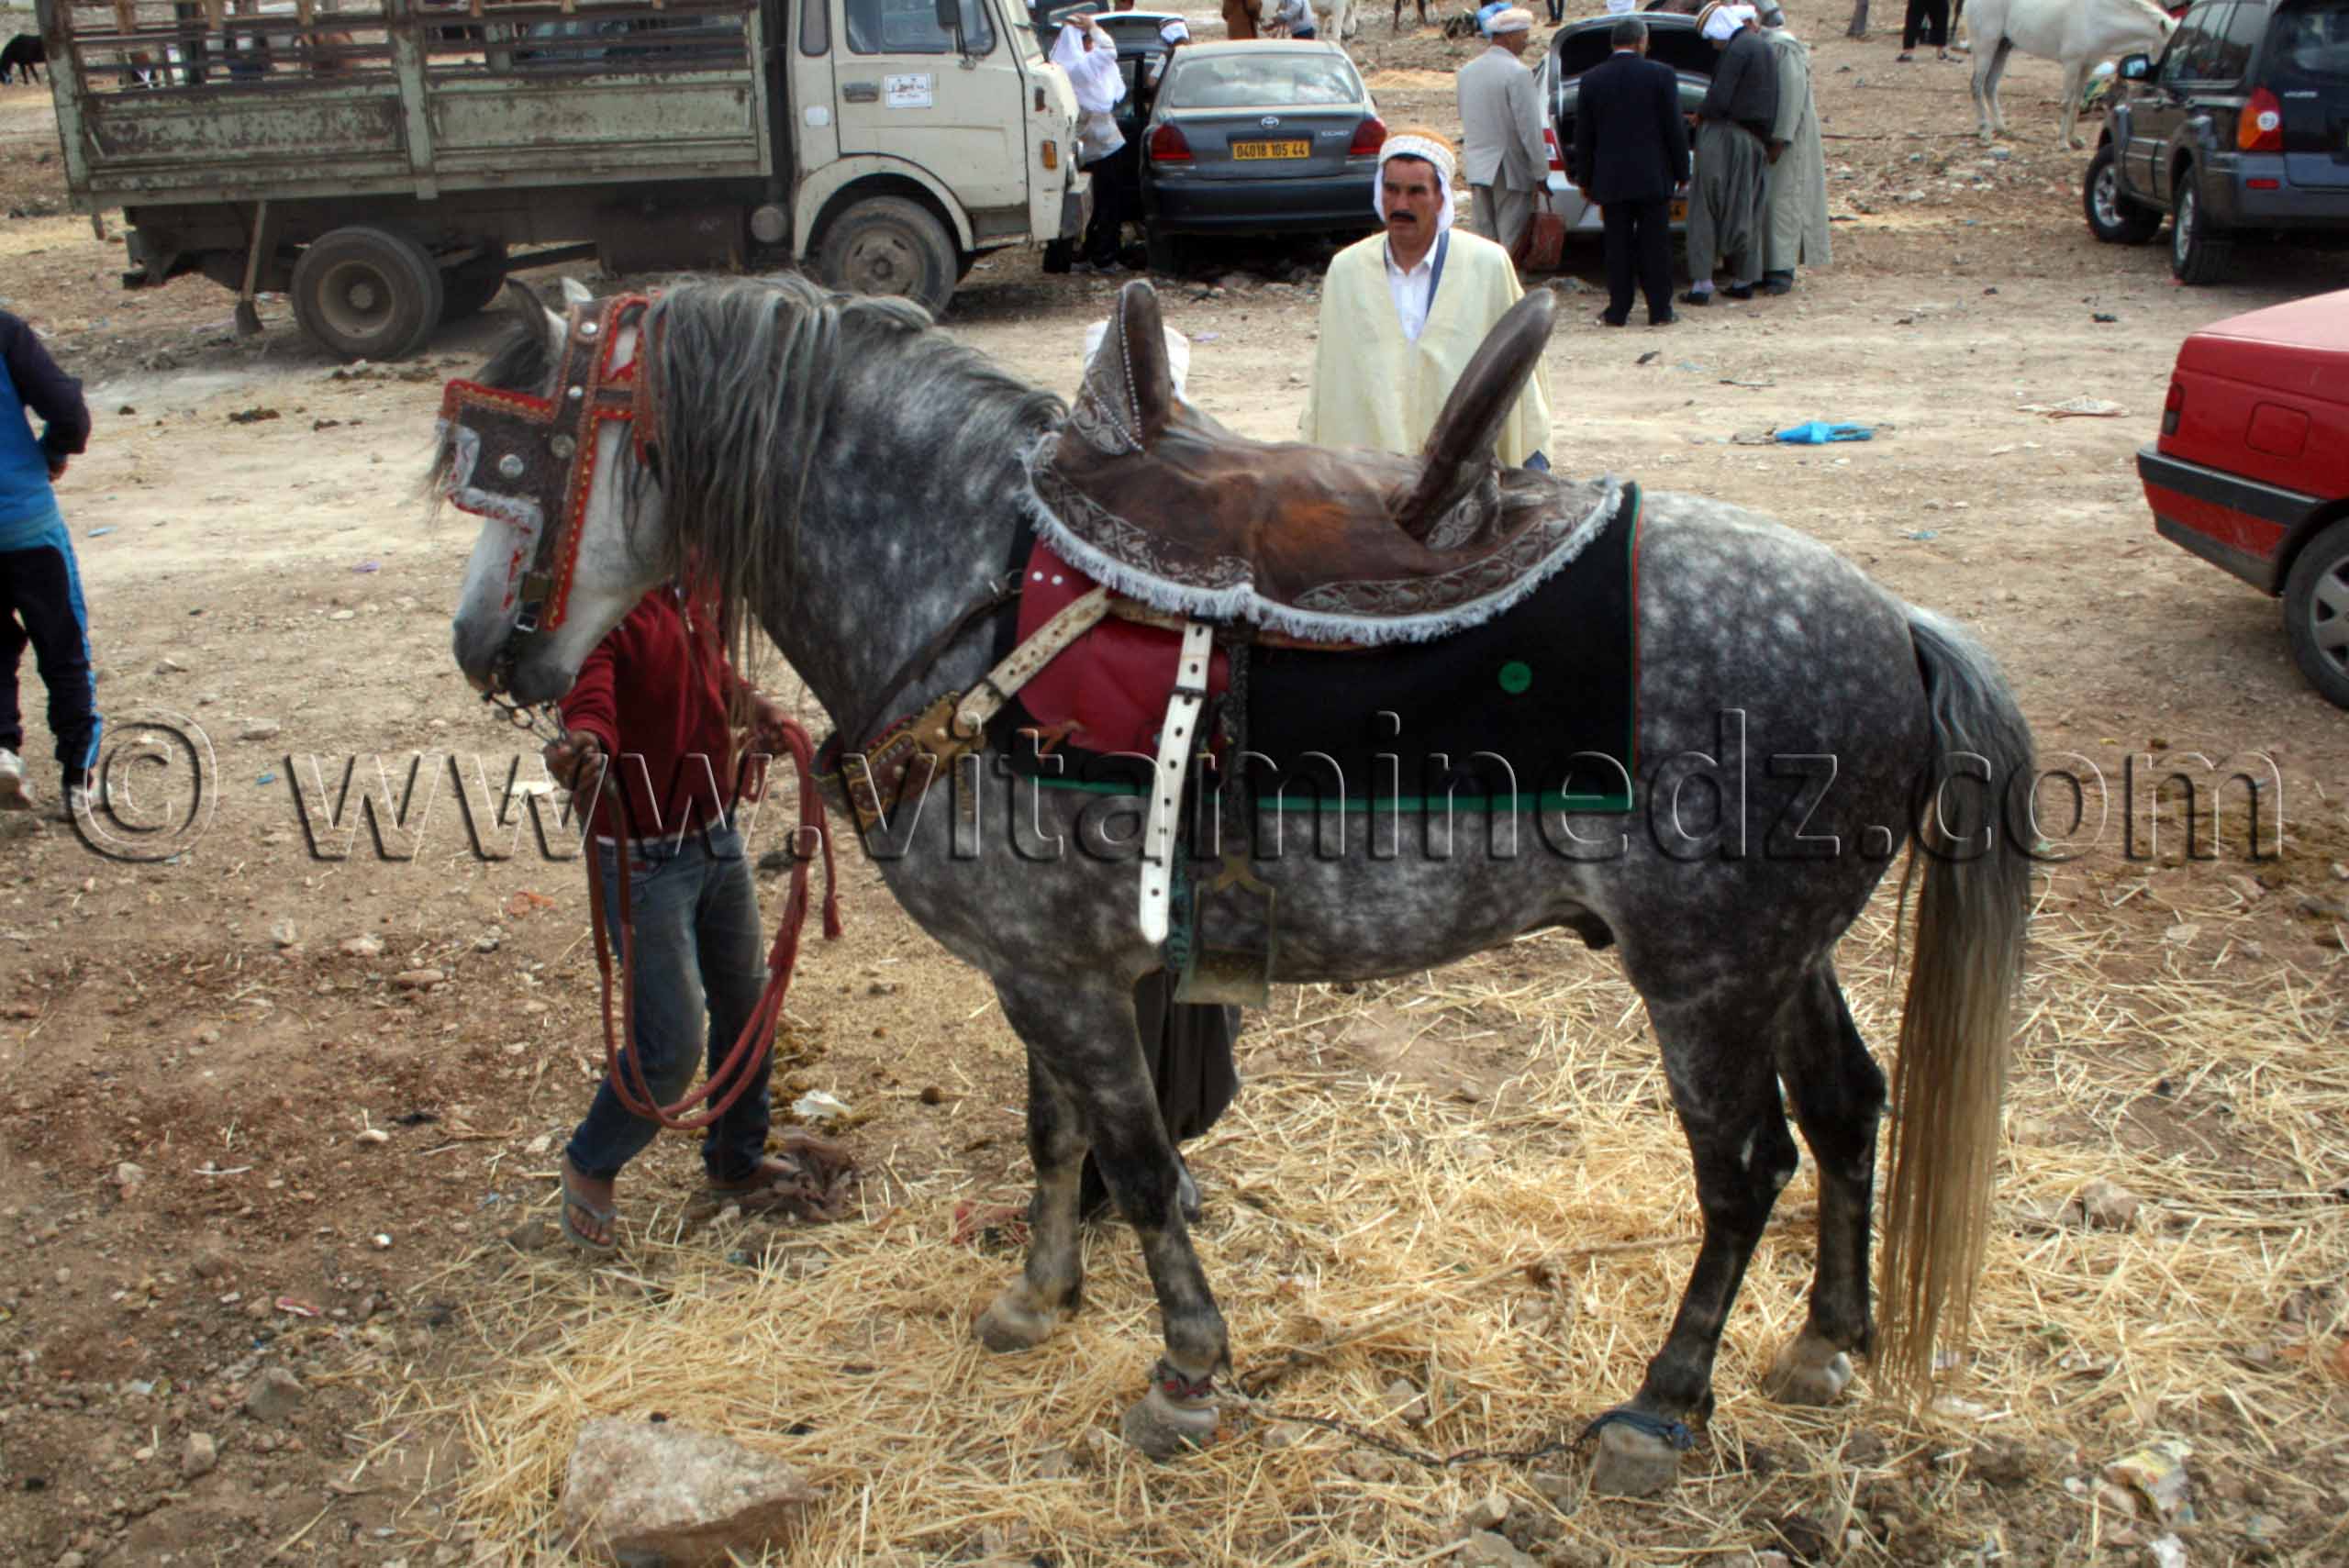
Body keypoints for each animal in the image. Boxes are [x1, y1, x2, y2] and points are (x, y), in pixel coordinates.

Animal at [439, 272, 2034, 1497]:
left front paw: (1187, 1374)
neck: (969, 587)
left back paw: (1662, 1405)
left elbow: (1143, 1164)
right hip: (1782, 959)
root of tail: (1896, 621)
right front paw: (1038, 1300)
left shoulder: (1069, 978)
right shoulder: (1052, 969)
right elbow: (1057, 1137)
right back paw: (1827, 1343)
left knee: (1744, 1168)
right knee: (1850, 1108)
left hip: (1702, 979)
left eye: (516, 463)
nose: (480, 648)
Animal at [1966, 0, 2175, 146]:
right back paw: (1985, 132)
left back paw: (2002, 129)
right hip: (1986, 45)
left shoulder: (2088, 65)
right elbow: (2066, 103)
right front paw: (2062, 142)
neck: (2097, 17)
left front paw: (2074, 139)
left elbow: (2077, 101)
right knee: (1976, 85)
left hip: (2003, 46)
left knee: (1990, 85)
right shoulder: (2072, 64)